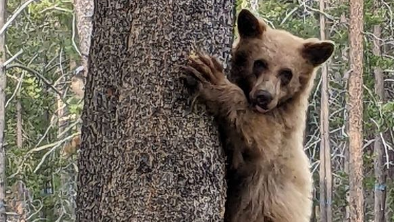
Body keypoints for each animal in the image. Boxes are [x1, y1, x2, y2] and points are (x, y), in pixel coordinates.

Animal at [181, 8, 332, 222]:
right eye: (259, 63)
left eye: (287, 73)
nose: (264, 96)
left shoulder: (280, 134)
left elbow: (258, 137)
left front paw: (209, 76)